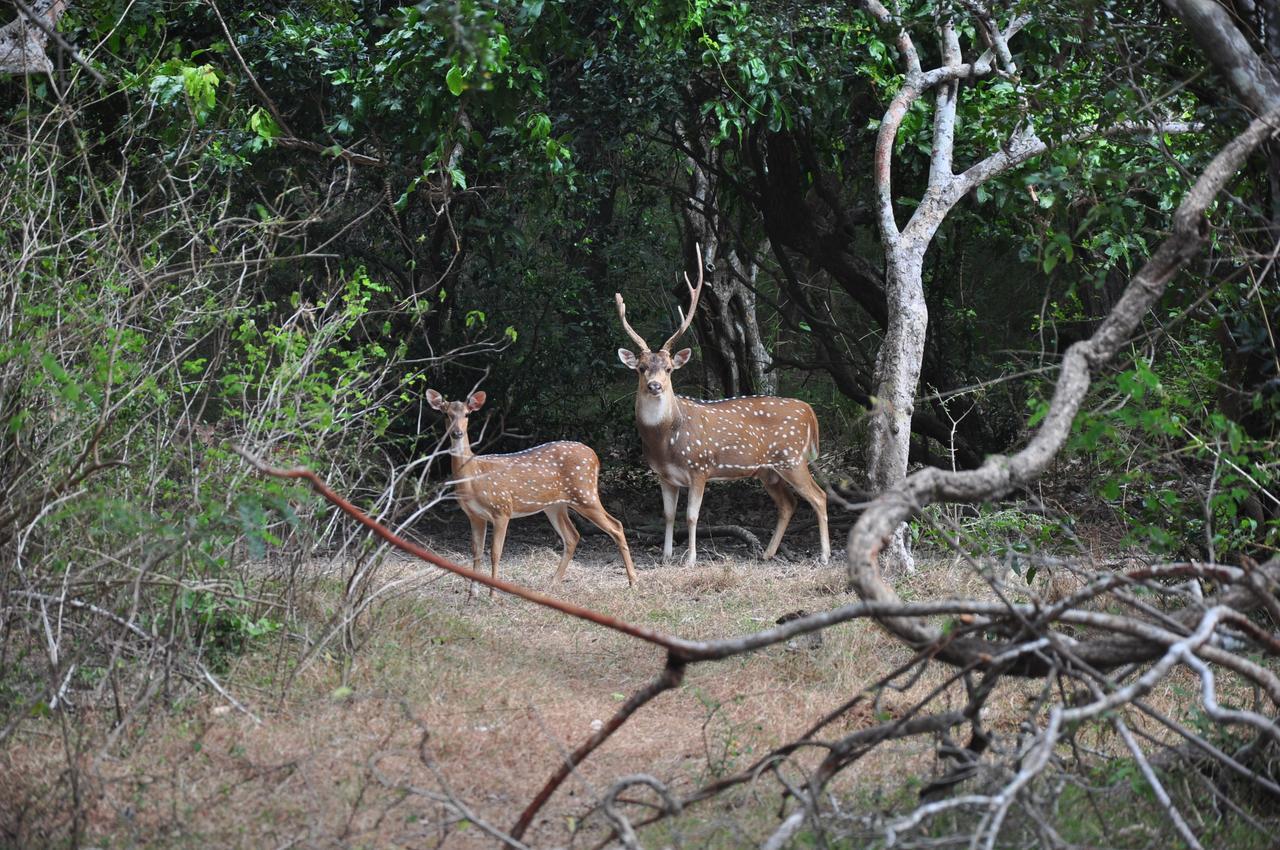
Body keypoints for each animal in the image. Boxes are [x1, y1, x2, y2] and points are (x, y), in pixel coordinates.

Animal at [427, 389, 637, 593]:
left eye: (467, 414)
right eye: (446, 414)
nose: (457, 433)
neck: (474, 477)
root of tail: (594, 455)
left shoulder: (502, 509)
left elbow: (495, 553)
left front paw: (493, 595)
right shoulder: (474, 515)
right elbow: (476, 553)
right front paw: (472, 596)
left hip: (585, 494)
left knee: (616, 526)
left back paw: (633, 581)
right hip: (555, 505)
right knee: (572, 536)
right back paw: (552, 583)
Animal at [616, 249, 834, 568]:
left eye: (669, 369)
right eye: (641, 368)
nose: (655, 386)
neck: (665, 440)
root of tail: (808, 411)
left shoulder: (699, 466)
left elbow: (691, 516)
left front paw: (690, 559)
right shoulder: (663, 475)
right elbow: (668, 515)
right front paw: (667, 556)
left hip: (792, 458)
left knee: (819, 497)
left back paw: (825, 555)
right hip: (768, 470)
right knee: (789, 503)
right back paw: (767, 553)